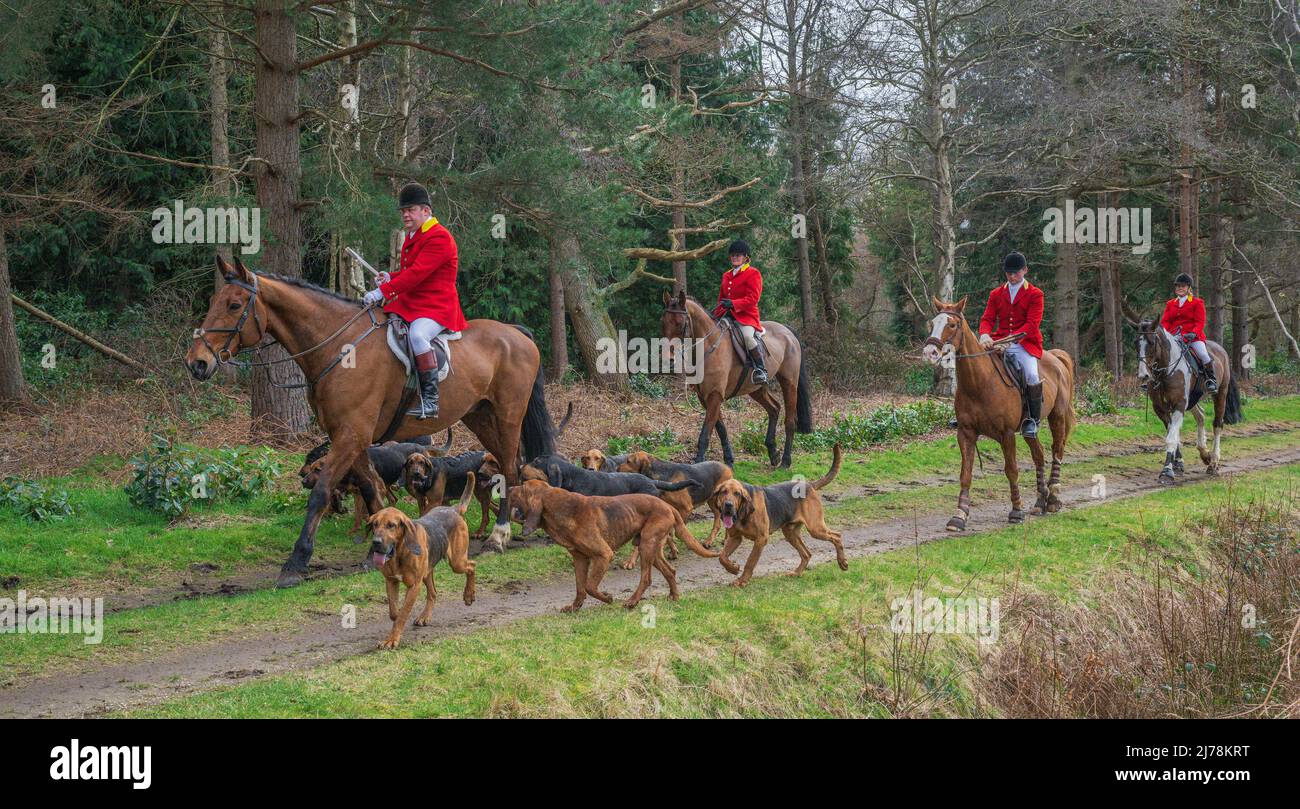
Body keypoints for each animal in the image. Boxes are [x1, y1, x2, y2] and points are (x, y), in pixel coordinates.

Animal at [184, 256, 553, 585]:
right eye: (215, 301)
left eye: (234, 305)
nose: (196, 363)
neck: (340, 347)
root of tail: (515, 332)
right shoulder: (351, 436)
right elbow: (372, 491)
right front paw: (376, 550)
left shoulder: (351, 436)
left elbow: (320, 493)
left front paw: (296, 562)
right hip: (480, 417)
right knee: (508, 464)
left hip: (507, 415)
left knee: (509, 468)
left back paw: (499, 536)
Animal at [665, 291, 806, 468]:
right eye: (663, 322)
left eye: (679, 323)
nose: (669, 360)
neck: (708, 345)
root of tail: (787, 330)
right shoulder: (705, 397)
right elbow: (721, 428)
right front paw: (729, 460)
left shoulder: (715, 395)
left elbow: (706, 432)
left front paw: (699, 463)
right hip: (756, 388)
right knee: (774, 408)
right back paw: (773, 453)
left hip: (789, 383)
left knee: (790, 420)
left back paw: (786, 461)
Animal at [920, 297, 1081, 533]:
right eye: (932, 324)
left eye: (952, 325)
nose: (929, 353)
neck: (980, 383)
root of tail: (1055, 356)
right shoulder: (966, 433)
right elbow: (965, 473)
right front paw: (959, 516)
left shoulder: (1007, 434)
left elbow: (1011, 470)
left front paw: (1016, 511)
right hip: (1029, 428)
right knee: (1039, 454)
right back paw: (1040, 501)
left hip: (1057, 417)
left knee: (1057, 450)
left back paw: (1053, 499)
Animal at [1138, 317, 1237, 481]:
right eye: (1136, 343)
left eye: (1151, 343)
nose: (1143, 375)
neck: (1166, 373)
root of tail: (1220, 349)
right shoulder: (1160, 408)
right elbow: (1173, 434)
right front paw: (1177, 463)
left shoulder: (1179, 404)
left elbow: (1171, 437)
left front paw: (1167, 471)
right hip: (1192, 400)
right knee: (1201, 416)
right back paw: (1205, 454)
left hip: (1220, 394)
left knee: (1217, 424)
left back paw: (1213, 461)